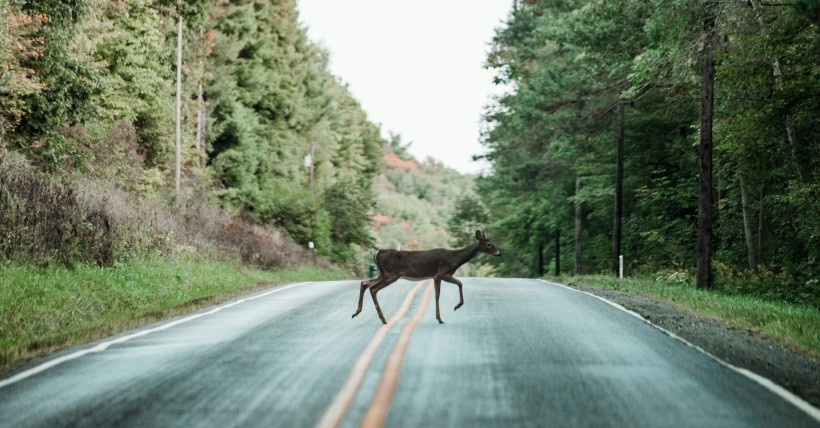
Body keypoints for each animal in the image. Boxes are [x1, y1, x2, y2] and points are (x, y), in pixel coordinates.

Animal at [350, 231, 500, 324]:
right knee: (373, 289)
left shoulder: (435, 276)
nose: (499, 252)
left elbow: (437, 294)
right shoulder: (442, 272)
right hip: (390, 274)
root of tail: (377, 252)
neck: (455, 258)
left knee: (364, 283)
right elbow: (459, 283)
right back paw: (383, 319)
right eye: (489, 244)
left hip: (381, 273)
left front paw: (439, 318)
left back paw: (356, 313)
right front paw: (456, 306)